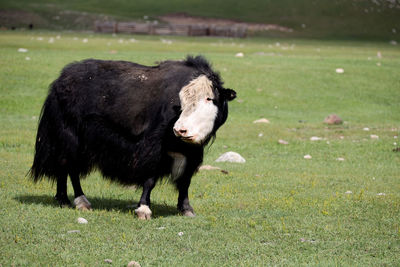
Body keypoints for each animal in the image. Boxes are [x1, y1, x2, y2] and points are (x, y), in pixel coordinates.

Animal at [29, 55, 236, 220]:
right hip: (69, 136)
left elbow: (185, 181)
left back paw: (69, 200)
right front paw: (143, 209)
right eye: (182, 101)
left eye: (209, 98)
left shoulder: (193, 153)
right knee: (68, 167)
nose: (180, 130)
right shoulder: (153, 148)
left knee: (66, 167)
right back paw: (75, 201)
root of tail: (59, 81)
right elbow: (150, 178)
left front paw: (186, 209)